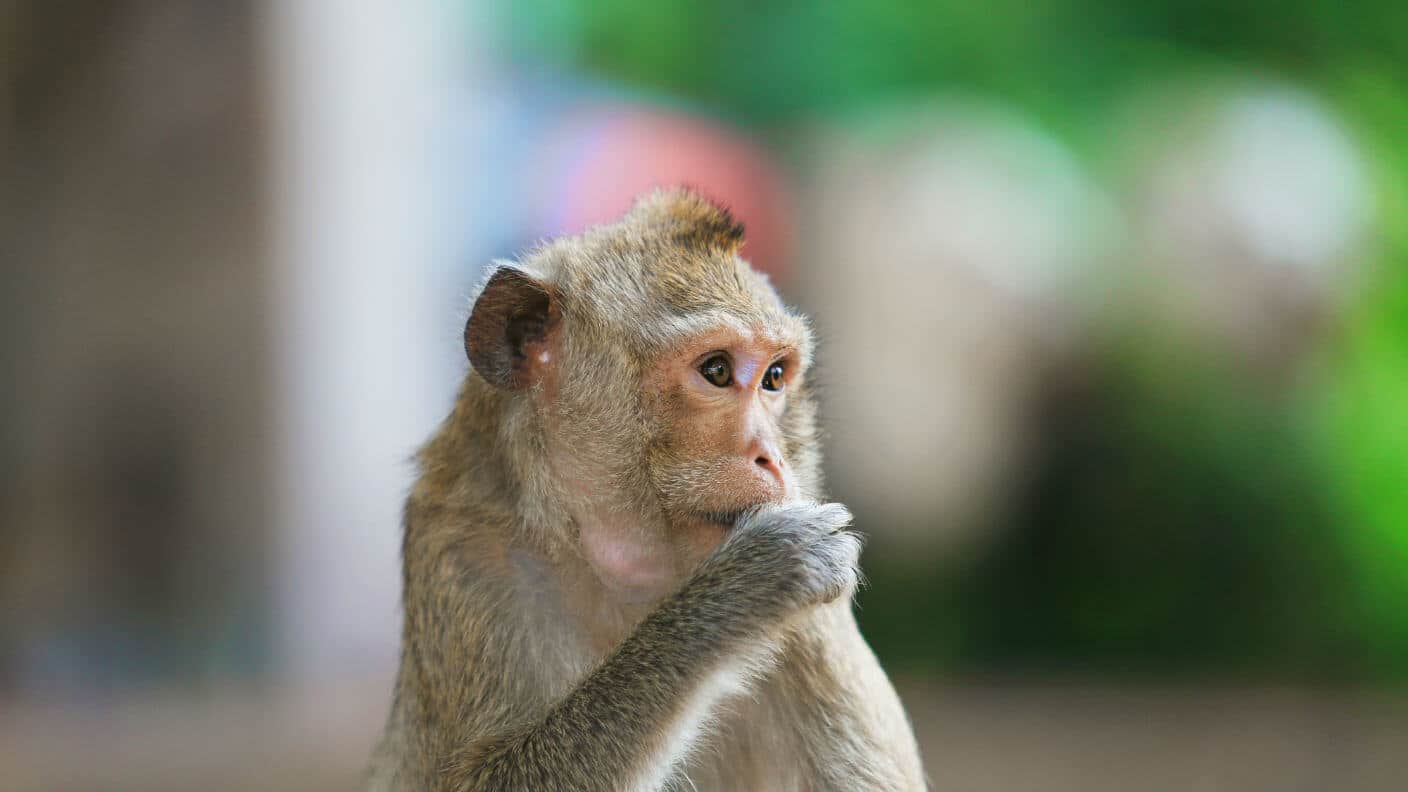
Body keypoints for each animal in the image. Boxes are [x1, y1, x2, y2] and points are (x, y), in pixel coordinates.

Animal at [365, 188, 927, 791]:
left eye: (774, 377)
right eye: (716, 370)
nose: (772, 459)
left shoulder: (820, 624)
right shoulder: (462, 553)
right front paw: (736, 594)